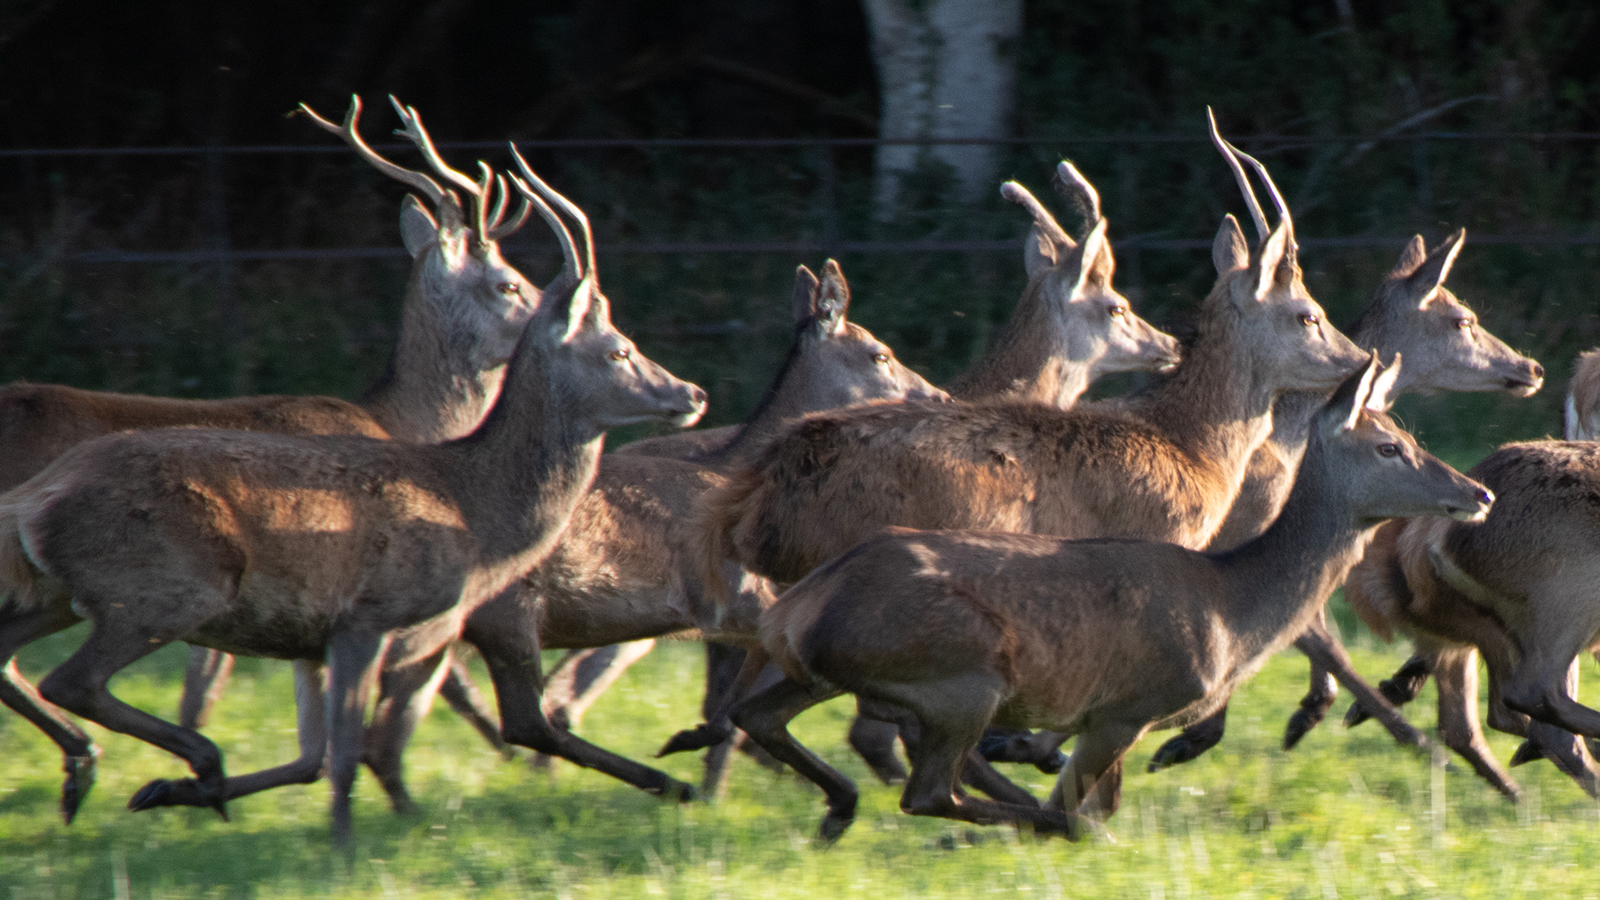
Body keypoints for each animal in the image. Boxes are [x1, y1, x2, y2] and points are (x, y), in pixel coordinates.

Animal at [729, 355, 1492, 842]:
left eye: (1409, 436)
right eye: (1390, 447)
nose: (1477, 492)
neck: (1233, 611)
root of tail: (795, 610)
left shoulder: (1122, 719)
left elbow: (1105, 804)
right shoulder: (1126, 706)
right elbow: (1089, 807)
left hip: (820, 671)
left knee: (755, 715)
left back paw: (841, 808)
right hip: (962, 675)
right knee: (930, 791)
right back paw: (1013, 822)